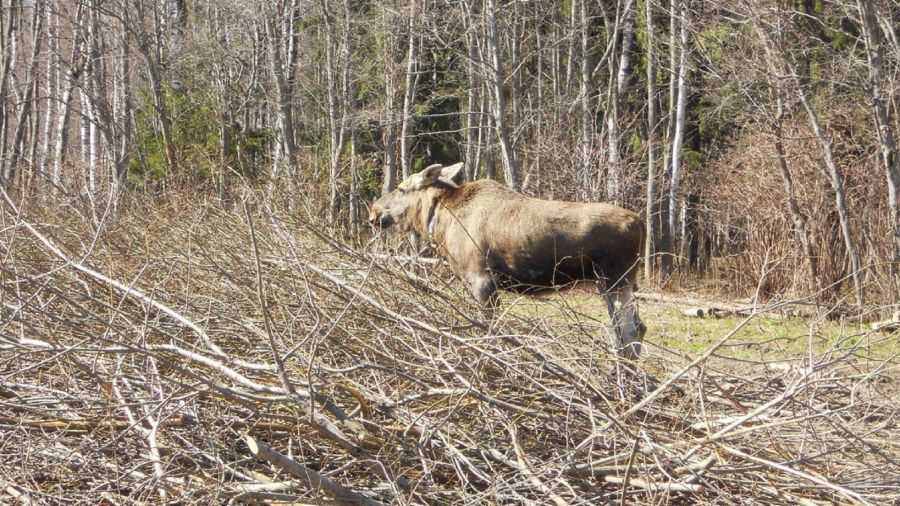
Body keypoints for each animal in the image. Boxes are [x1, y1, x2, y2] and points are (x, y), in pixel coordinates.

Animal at [370, 163, 648, 360]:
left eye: (401, 188)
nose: (373, 211)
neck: (439, 221)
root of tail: (641, 224)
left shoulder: (481, 278)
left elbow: (489, 330)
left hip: (614, 280)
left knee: (629, 332)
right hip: (615, 284)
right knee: (638, 327)